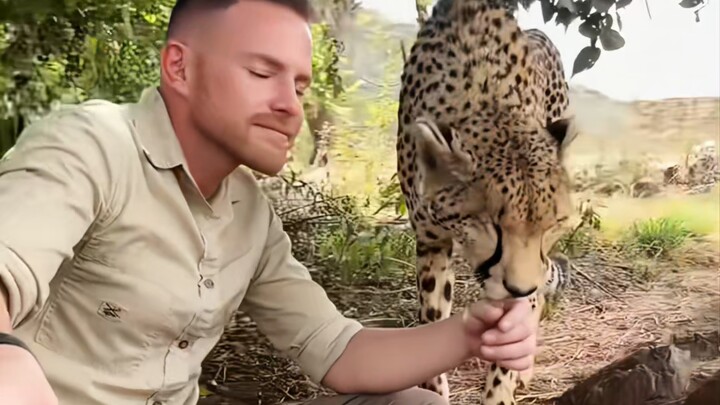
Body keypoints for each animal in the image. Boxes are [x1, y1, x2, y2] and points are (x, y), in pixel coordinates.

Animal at [395, 0, 579, 403]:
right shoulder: (431, 241)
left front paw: (503, 386)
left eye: (552, 225)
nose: (520, 288)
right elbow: (432, 314)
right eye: (493, 225)